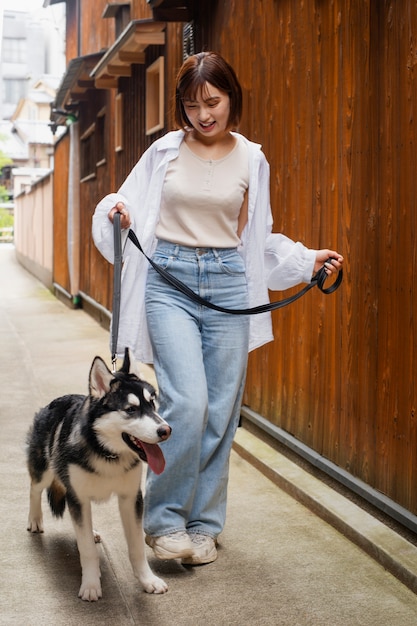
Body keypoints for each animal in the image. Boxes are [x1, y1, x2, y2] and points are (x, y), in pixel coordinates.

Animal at [26, 348, 171, 596]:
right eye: (131, 410)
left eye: (153, 404)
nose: (166, 430)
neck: (105, 452)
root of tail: (57, 400)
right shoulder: (77, 497)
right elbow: (86, 550)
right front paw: (91, 585)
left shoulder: (131, 499)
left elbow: (136, 547)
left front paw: (147, 579)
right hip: (45, 470)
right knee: (34, 489)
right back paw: (35, 519)